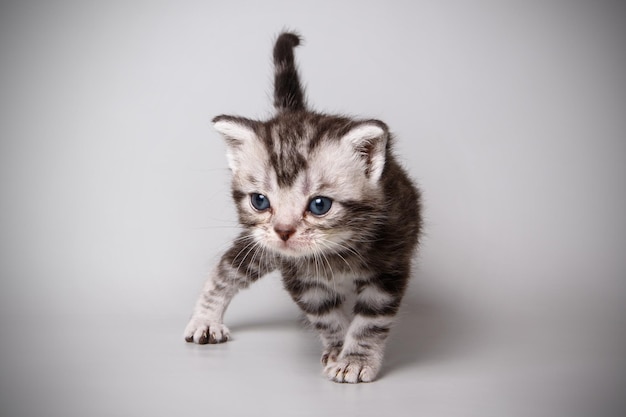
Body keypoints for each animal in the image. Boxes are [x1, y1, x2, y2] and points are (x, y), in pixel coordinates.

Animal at [183, 31, 422, 384]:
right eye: (260, 201)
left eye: (319, 205)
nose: (283, 231)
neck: (338, 252)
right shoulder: (300, 278)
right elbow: (326, 316)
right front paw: (337, 349)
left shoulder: (390, 267)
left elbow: (370, 321)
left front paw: (355, 359)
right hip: (260, 246)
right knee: (228, 268)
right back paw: (205, 319)